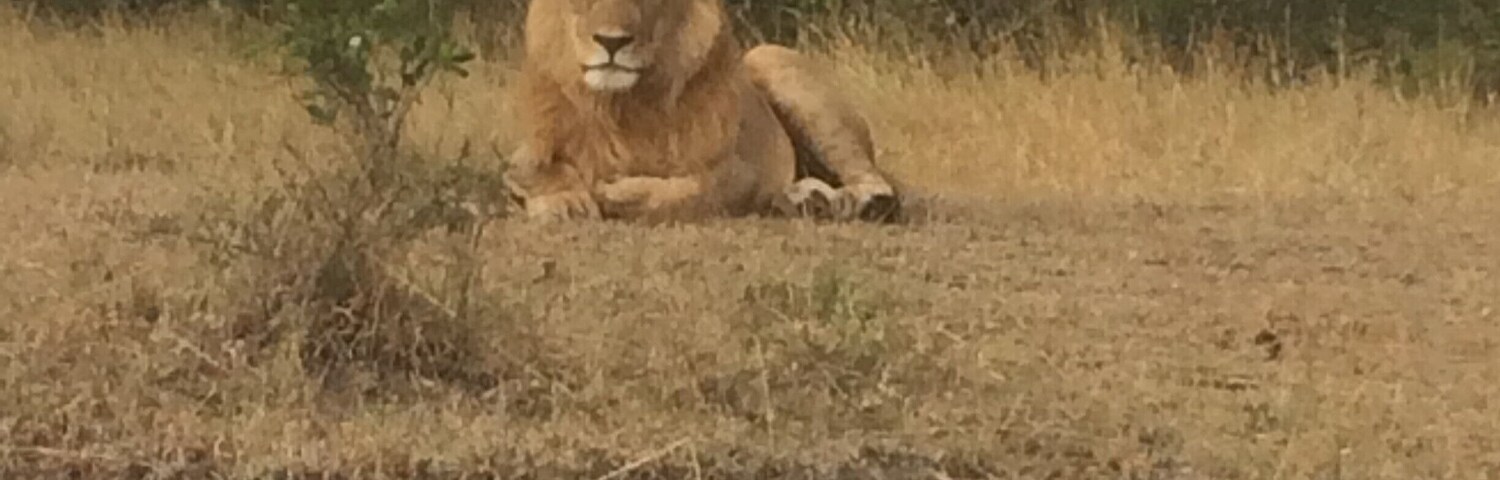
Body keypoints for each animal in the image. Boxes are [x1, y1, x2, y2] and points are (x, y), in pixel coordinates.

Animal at [501, 0, 903, 223]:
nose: (611, 41)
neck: (621, 105)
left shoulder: (743, 172)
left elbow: (692, 190)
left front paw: (618, 194)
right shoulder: (525, 151)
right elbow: (532, 170)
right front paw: (566, 201)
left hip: (769, 58)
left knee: (879, 186)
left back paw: (844, 203)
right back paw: (808, 199)